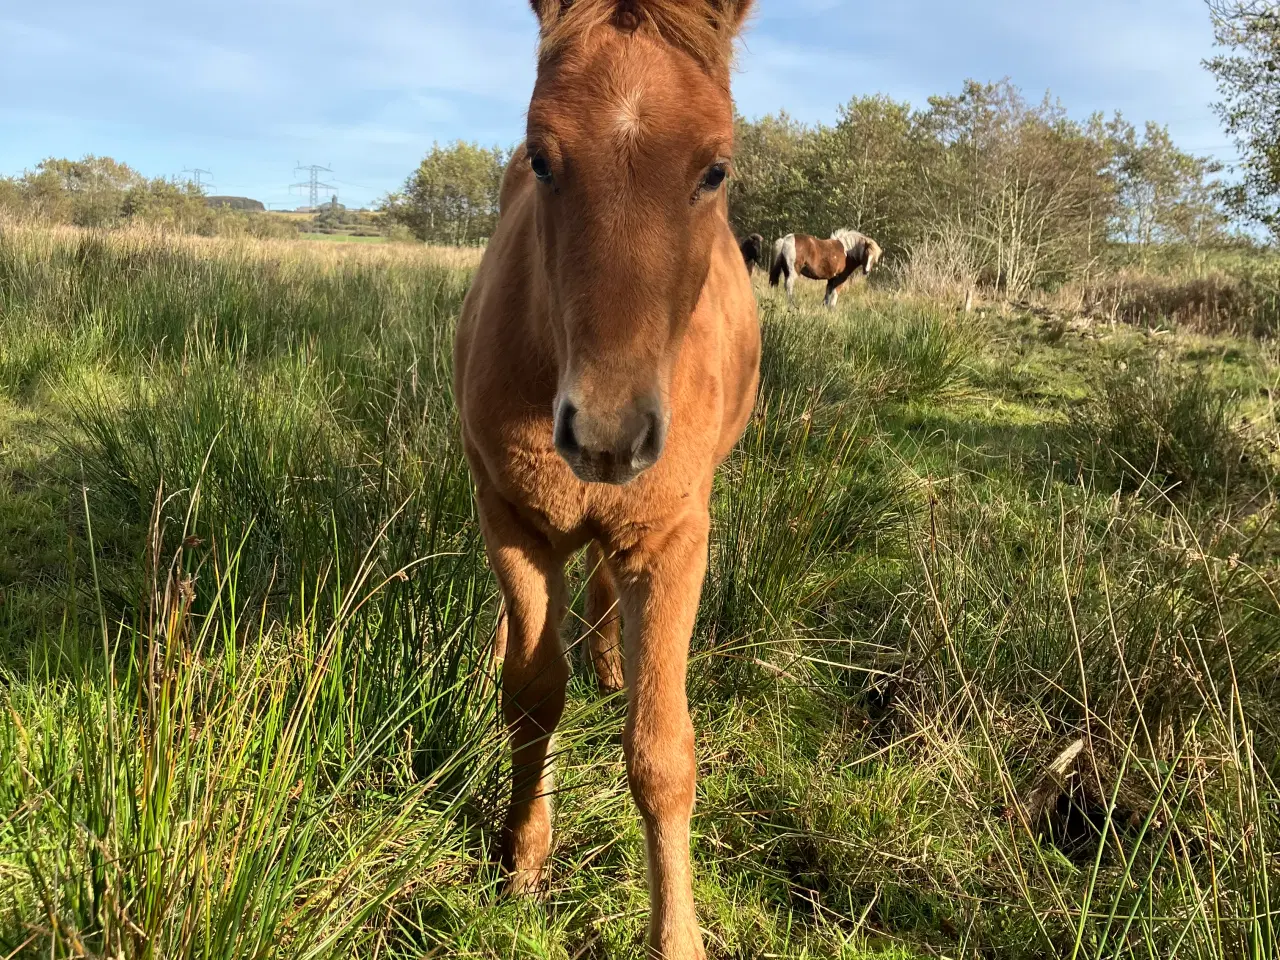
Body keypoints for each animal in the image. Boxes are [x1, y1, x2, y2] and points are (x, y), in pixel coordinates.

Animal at [455, 0, 757, 957]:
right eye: (540, 157)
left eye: (714, 169)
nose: (608, 434)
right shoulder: (516, 522)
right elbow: (531, 697)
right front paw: (523, 860)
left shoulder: (672, 541)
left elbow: (662, 755)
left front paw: (677, 934)